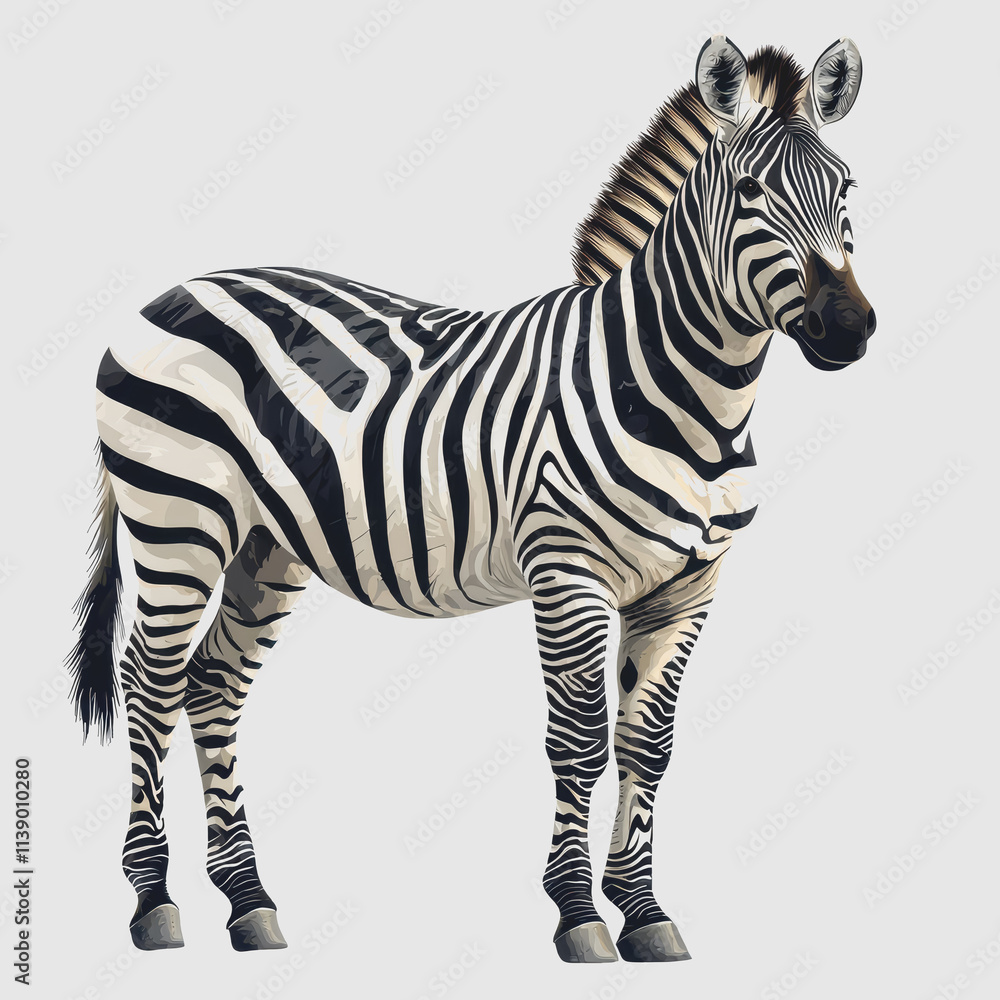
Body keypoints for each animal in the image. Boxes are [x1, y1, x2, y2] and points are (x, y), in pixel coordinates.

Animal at [68, 35, 874, 963]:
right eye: (750, 193)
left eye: (847, 190)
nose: (851, 327)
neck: (683, 398)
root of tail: (173, 290)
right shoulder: (568, 571)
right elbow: (580, 741)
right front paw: (579, 914)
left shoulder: (689, 586)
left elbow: (649, 744)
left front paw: (644, 911)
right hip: (179, 522)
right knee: (149, 681)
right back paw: (153, 899)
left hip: (265, 546)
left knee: (211, 686)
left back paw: (248, 902)